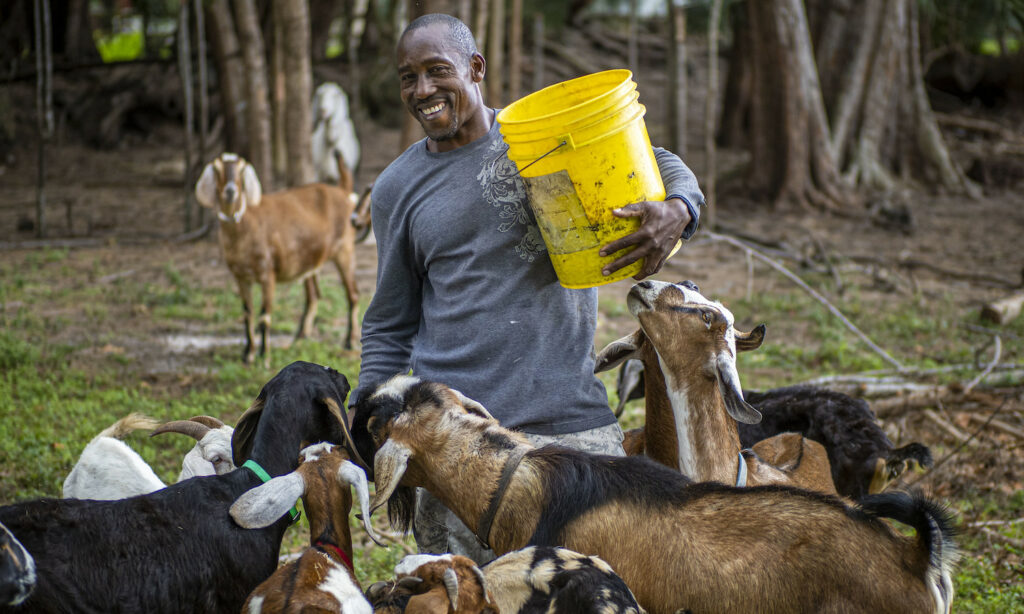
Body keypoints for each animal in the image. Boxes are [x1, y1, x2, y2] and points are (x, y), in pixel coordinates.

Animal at [195, 152, 360, 364]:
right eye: (217, 169)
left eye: (240, 169)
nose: (230, 191)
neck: (245, 226)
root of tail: (343, 192)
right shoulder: (240, 276)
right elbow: (247, 313)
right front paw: (248, 354)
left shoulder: (268, 273)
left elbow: (264, 315)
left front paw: (264, 356)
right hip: (309, 261)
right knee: (313, 296)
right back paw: (300, 337)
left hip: (344, 250)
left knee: (353, 295)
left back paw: (349, 341)